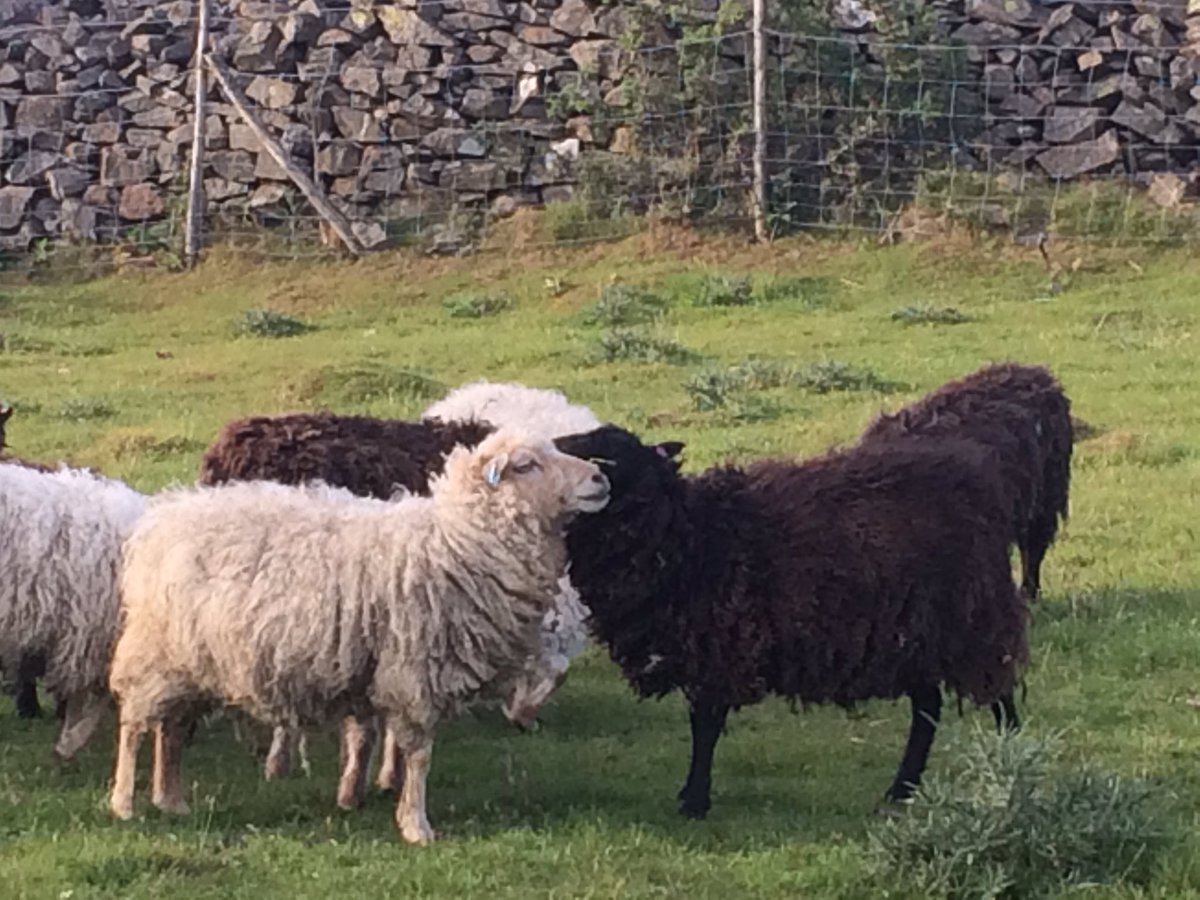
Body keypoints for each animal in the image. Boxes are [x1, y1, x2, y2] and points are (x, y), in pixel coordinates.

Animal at [109, 429, 610, 843]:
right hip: (156, 651)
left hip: (192, 660)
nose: (600, 478)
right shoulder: (414, 669)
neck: (459, 542)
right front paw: (416, 825)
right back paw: (124, 803)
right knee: (135, 726)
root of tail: (163, 518)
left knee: (171, 730)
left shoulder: (376, 668)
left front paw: (356, 794)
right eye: (526, 464)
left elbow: (367, 736)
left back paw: (171, 799)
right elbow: (419, 754)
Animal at [553, 425, 1028, 819]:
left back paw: (1011, 764)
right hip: (913, 636)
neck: (690, 536)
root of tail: (979, 481)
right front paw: (692, 794)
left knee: (999, 696)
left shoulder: (721, 646)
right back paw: (901, 789)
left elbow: (705, 726)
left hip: (972, 625)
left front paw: (694, 800)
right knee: (928, 708)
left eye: (608, 456)